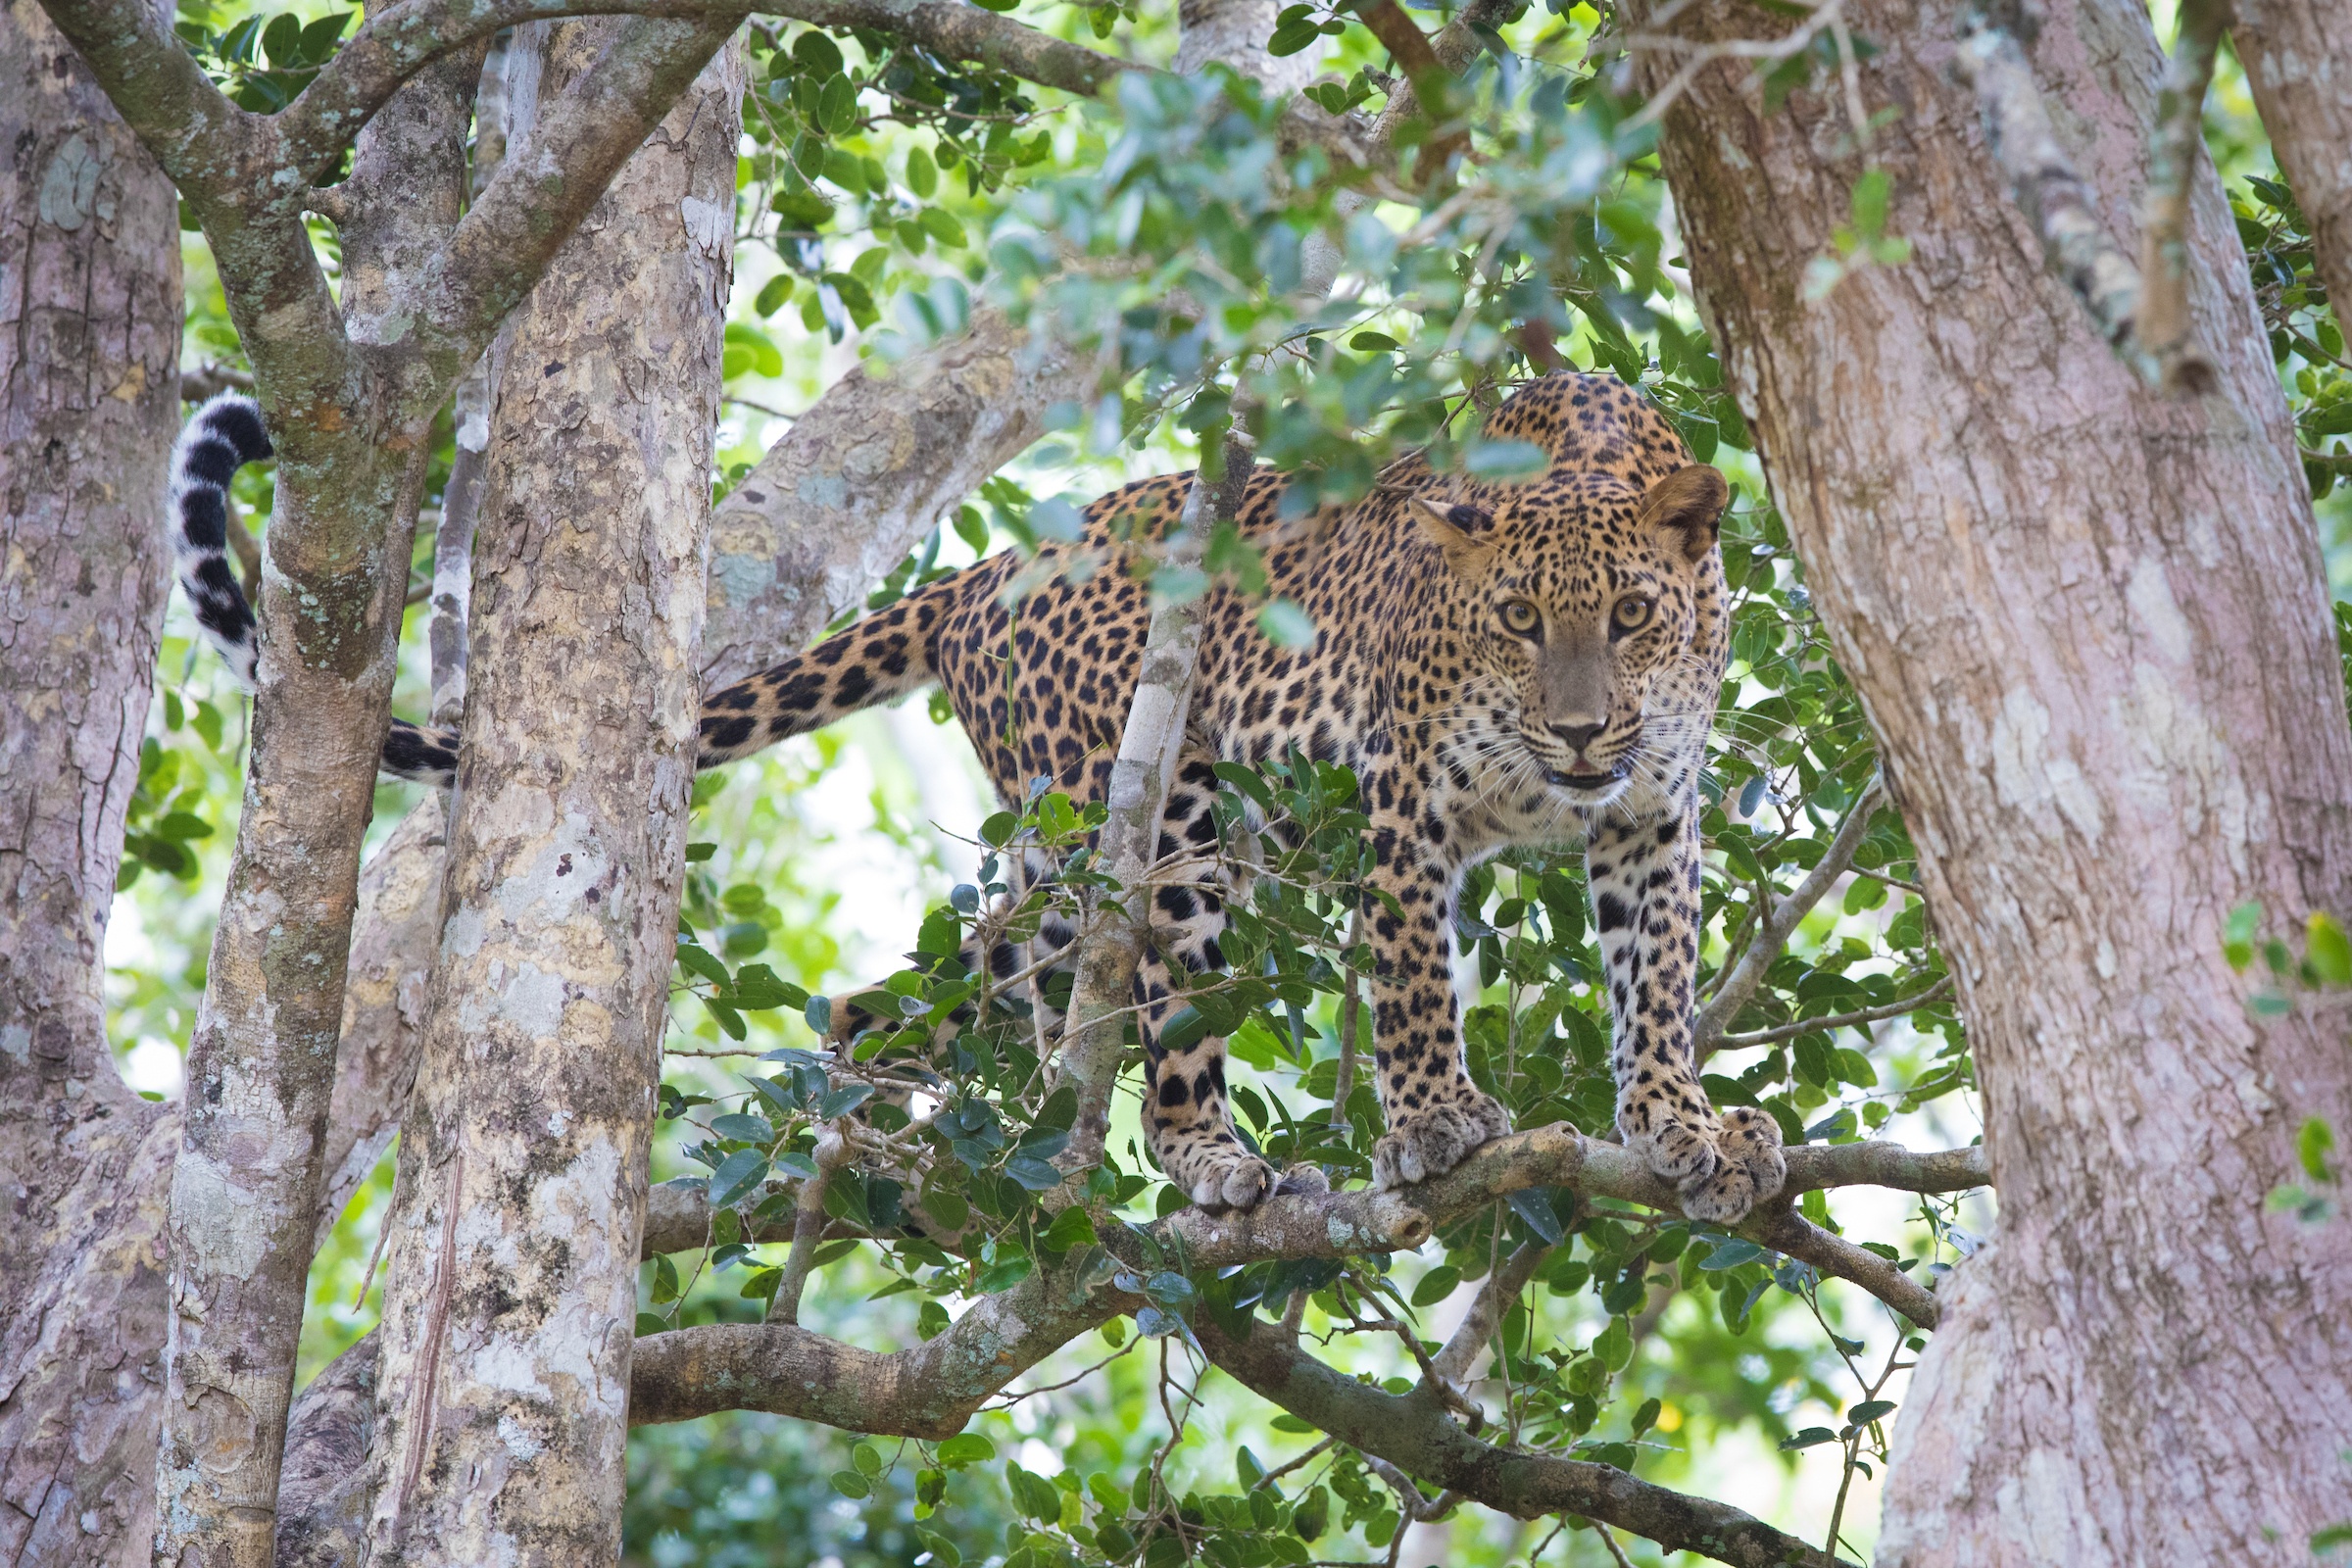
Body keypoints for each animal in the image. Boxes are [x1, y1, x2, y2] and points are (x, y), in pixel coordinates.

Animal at [178, 371, 1778, 1222]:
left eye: (1631, 614)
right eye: (1515, 620)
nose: (1578, 731)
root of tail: (985, 571)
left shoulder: (1654, 814)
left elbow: (1657, 977)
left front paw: (1686, 1124)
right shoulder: (1404, 798)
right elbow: (1413, 978)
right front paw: (1438, 1121)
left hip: (1093, 868)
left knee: (939, 988)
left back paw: (864, 1117)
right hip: (1155, 819)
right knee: (1153, 1014)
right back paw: (1203, 1156)